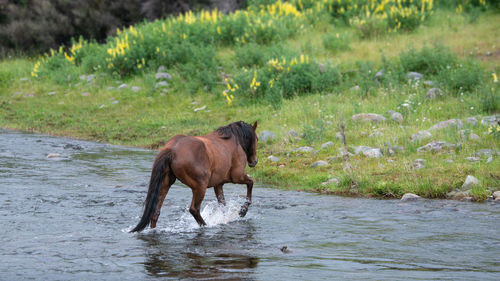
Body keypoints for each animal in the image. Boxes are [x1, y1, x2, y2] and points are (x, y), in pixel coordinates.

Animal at [130, 120, 258, 232]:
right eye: (257, 138)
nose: (254, 161)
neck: (235, 140)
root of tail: (172, 149)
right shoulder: (237, 176)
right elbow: (251, 183)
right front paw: (243, 211)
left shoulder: (218, 184)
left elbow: (223, 204)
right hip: (200, 186)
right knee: (194, 209)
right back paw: (206, 225)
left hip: (165, 184)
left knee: (156, 212)